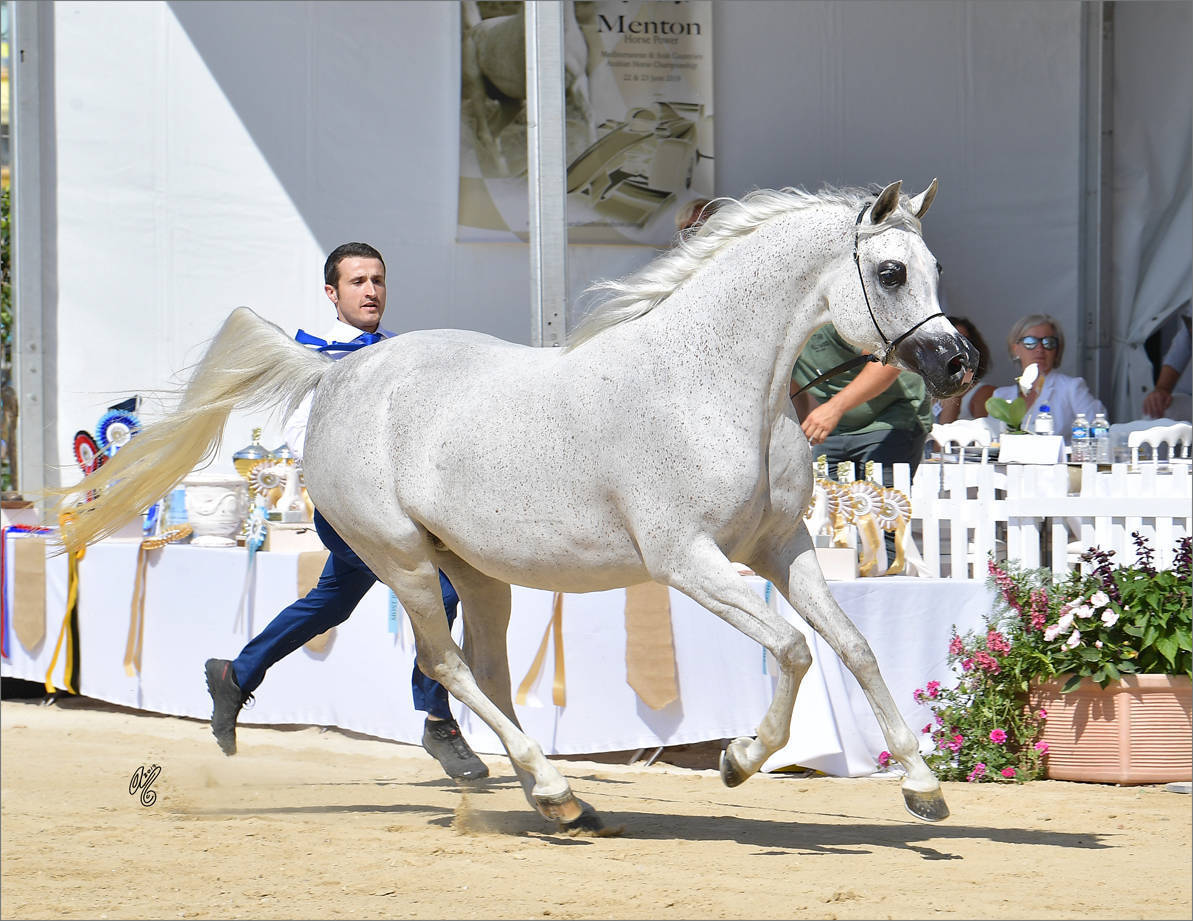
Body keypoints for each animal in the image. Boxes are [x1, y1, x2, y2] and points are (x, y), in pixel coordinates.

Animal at [59, 179, 977, 834]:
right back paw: (553, 787)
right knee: (445, 664)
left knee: (486, 670)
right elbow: (791, 649)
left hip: (476, 570)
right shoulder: (686, 560)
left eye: (934, 270)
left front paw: (923, 787)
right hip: (400, 560)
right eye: (890, 272)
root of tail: (346, 368)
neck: (712, 384)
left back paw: (552, 795)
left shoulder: (780, 546)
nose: (954, 364)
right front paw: (739, 759)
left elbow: (852, 644)